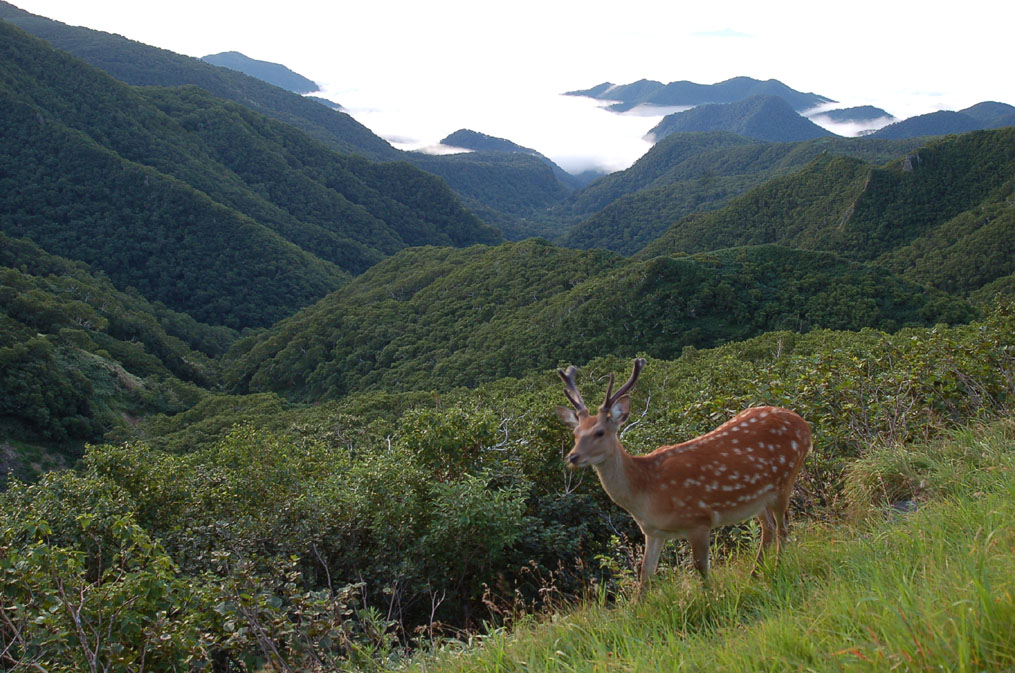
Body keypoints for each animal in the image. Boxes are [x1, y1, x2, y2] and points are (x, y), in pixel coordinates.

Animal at [556, 357, 807, 588]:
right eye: (576, 433)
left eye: (599, 432)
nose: (573, 457)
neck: (646, 489)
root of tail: (805, 425)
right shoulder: (653, 531)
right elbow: (645, 575)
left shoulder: (698, 520)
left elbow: (701, 568)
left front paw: (714, 598)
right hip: (758, 498)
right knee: (769, 528)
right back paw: (754, 575)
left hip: (785, 480)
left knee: (783, 527)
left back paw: (776, 570)